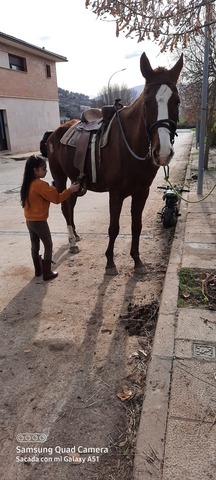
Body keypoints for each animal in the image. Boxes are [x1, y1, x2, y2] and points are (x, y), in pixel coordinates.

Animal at [47, 52, 182, 274]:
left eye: (177, 102)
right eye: (146, 102)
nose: (162, 152)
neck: (130, 147)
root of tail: (56, 131)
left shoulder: (141, 192)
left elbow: (136, 226)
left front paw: (137, 260)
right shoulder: (116, 193)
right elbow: (114, 227)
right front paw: (110, 262)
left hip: (75, 180)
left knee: (70, 205)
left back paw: (75, 235)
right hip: (59, 177)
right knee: (65, 207)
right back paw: (72, 242)